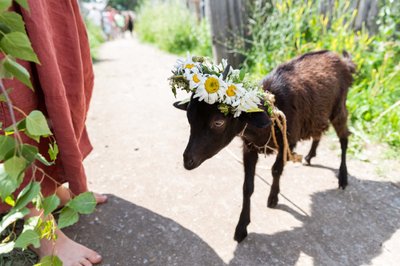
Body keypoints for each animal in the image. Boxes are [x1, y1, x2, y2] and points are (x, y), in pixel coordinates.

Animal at [173, 50, 354, 243]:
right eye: (189, 116)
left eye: (218, 122)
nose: (187, 161)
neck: (272, 112)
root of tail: (340, 58)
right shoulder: (249, 148)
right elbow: (247, 187)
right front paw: (241, 227)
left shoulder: (286, 142)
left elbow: (276, 170)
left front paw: (273, 198)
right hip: (318, 113)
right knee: (319, 132)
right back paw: (309, 156)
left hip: (339, 108)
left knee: (344, 138)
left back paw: (343, 178)